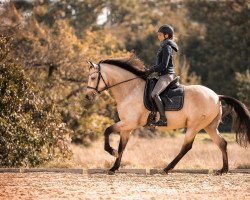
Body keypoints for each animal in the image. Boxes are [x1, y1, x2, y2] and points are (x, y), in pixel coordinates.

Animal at [85, 54, 250, 175]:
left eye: (93, 78)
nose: (87, 96)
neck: (130, 89)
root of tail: (217, 96)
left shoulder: (129, 123)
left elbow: (107, 131)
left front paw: (111, 152)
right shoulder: (127, 126)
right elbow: (122, 146)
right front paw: (114, 167)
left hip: (194, 126)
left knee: (186, 147)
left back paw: (166, 168)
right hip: (209, 127)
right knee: (222, 143)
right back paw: (223, 170)